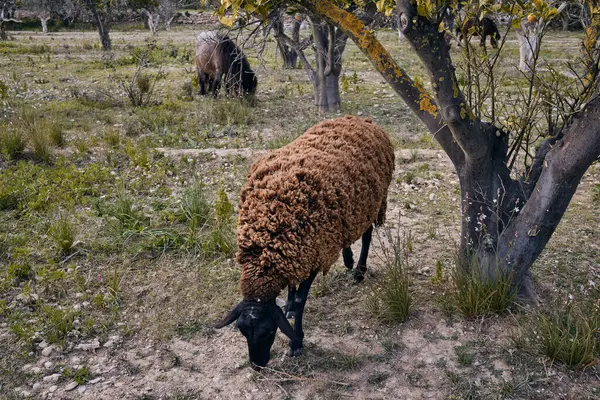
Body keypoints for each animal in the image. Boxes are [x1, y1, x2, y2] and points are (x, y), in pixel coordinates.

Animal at [214, 115, 394, 368]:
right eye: (242, 331)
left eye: (270, 331)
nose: (257, 366)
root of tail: (362, 119)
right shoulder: (293, 249)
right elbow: (292, 287)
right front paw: (288, 306)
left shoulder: (312, 255)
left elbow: (301, 300)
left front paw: (296, 341)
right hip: (346, 212)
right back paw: (348, 259)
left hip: (372, 202)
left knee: (367, 235)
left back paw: (359, 270)